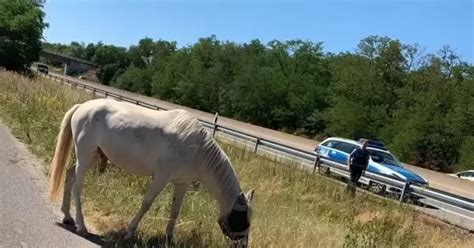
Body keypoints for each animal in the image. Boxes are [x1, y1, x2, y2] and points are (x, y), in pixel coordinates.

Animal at [47, 98, 256, 245]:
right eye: (242, 219)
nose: (242, 245)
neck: (197, 150)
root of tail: (82, 106)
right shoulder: (161, 178)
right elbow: (146, 203)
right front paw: (129, 232)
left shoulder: (182, 183)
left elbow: (175, 210)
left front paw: (169, 238)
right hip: (85, 155)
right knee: (77, 186)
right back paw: (81, 226)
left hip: (91, 156)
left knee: (69, 176)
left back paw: (67, 216)